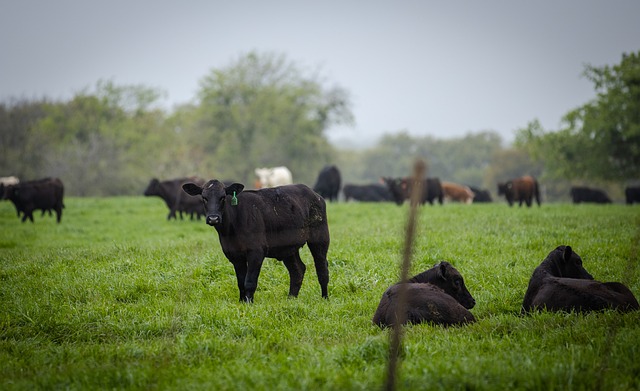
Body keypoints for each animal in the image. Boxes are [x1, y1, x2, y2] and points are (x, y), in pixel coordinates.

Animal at [181, 180, 328, 304]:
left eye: (223, 197)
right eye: (204, 197)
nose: (213, 218)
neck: (231, 230)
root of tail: (314, 193)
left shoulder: (256, 251)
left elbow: (249, 281)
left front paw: (249, 303)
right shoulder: (234, 255)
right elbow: (241, 282)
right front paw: (242, 302)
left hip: (320, 237)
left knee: (322, 268)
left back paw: (324, 298)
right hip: (288, 247)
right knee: (297, 270)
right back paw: (291, 299)